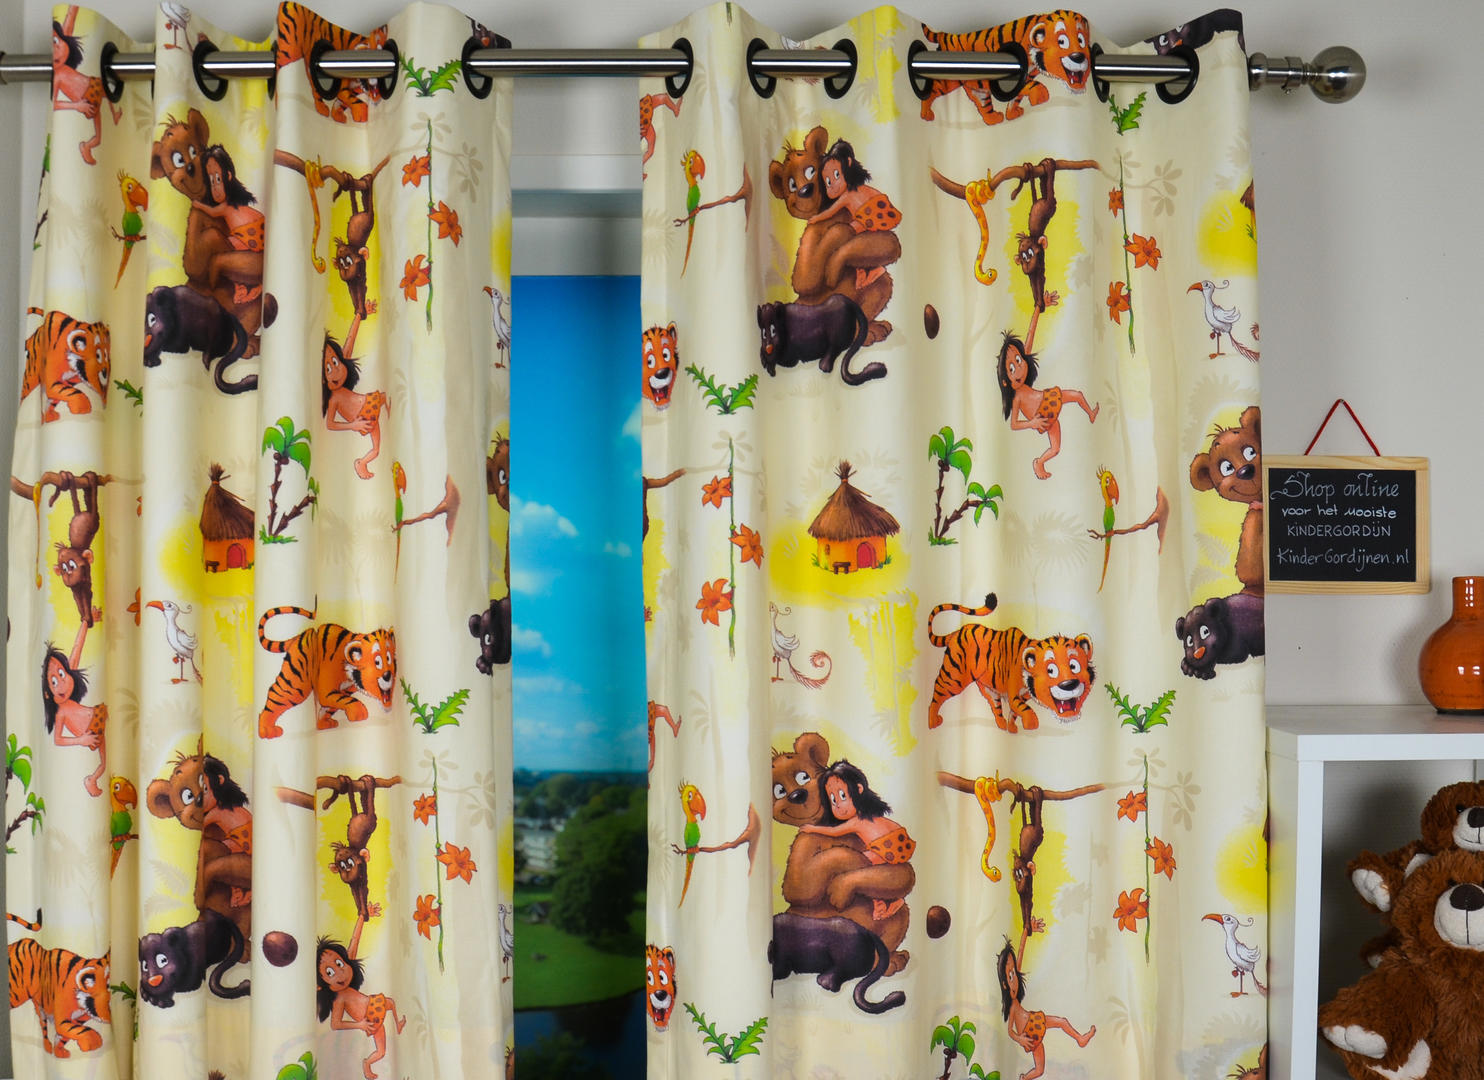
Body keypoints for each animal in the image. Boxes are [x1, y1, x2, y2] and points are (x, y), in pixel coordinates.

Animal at [7, 911, 111, 1059]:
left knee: (43, 1025)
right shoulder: (63, 1017)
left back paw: (48, 1047)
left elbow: (66, 1034)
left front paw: (59, 1051)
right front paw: (92, 1042)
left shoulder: (79, 1017)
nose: (110, 1018)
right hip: (16, 993)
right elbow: (76, 1030)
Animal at [256, 605, 396, 739]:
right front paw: (358, 712)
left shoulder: (344, 689)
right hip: (297, 681)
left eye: (389, 659)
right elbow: (343, 700)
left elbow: (332, 705)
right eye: (377, 662)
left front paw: (323, 723)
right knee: (276, 693)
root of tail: (299, 636)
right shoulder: (327, 689)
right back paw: (267, 730)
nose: (388, 675)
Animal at [918, 12, 1092, 125]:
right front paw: (1040, 95)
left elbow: (1017, 97)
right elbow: (1025, 89)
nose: (1079, 57)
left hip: (974, 85)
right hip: (947, 79)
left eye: (1082, 41)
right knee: (930, 92)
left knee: (983, 102)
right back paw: (926, 114)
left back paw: (993, 119)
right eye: (1062, 41)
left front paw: (1013, 114)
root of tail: (946, 35)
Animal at [926, 593, 1094, 733]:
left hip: (988, 687)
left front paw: (1012, 728)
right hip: (954, 677)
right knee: (937, 693)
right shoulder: (1014, 693)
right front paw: (1031, 724)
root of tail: (956, 632)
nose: (1069, 684)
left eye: (1074, 666)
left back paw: (1001, 726)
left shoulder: (1023, 695)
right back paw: (933, 722)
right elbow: (1022, 708)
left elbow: (1015, 711)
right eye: (1051, 670)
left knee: (995, 705)